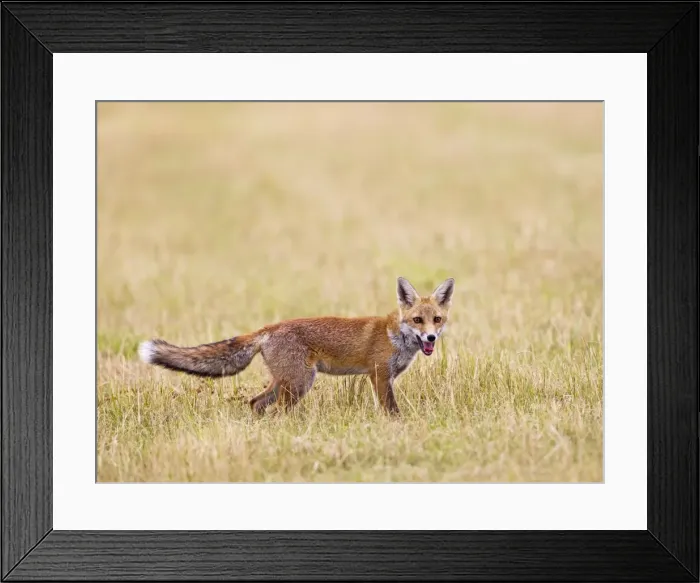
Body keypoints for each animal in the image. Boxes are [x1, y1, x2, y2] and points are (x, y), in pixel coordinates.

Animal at [138, 276, 454, 417]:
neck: (396, 335)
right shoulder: (378, 375)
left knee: (255, 403)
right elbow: (392, 411)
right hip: (300, 383)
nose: (430, 339)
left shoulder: (385, 377)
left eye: (436, 319)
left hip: (285, 382)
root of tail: (268, 328)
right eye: (417, 320)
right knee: (275, 411)